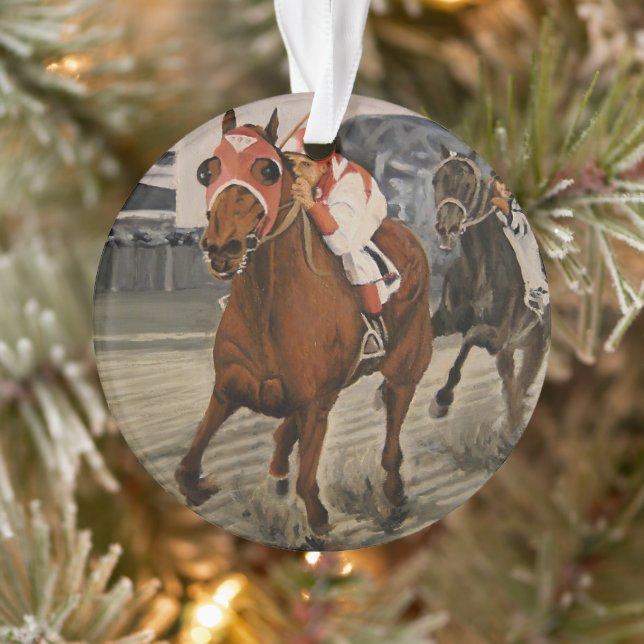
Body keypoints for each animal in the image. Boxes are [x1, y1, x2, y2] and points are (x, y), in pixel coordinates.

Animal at [174, 108, 433, 536]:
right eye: (206, 170)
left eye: (267, 170)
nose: (222, 248)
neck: (267, 310)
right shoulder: (228, 388)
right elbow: (187, 467)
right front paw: (202, 487)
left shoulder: (316, 403)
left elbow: (310, 488)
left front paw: (317, 513)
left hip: (407, 363)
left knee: (396, 415)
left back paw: (394, 489)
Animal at [429, 146, 550, 434]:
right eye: (437, 180)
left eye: (468, 184)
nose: (446, 228)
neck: (478, 273)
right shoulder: (445, 321)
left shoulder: (495, 337)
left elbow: (468, 340)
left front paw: (442, 399)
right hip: (509, 352)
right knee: (511, 385)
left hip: (534, 346)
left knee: (520, 385)